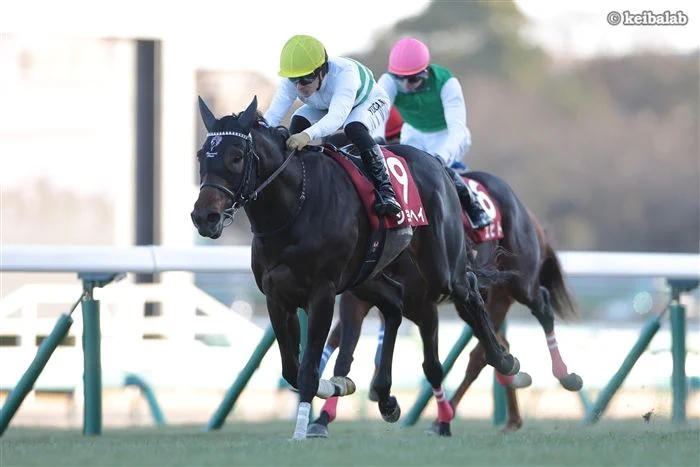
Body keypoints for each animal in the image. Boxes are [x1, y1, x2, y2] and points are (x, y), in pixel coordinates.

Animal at [190, 96, 520, 440]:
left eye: (237, 157)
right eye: (202, 155)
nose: (204, 217)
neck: (294, 208)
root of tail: (436, 161)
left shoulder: (321, 294)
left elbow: (307, 369)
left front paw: (301, 430)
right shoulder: (277, 296)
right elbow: (292, 369)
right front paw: (336, 386)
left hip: (440, 266)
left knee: (467, 288)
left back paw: (504, 360)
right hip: (365, 277)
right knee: (394, 304)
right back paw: (386, 397)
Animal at [307, 171, 583, 437]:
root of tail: (528, 214)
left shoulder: (424, 307)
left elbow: (432, 366)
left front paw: (440, 419)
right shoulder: (356, 299)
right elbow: (344, 354)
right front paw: (322, 419)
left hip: (518, 281)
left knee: (538, 309)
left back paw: (565, 376)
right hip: (480, 301)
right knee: (491, 346)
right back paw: (512, 408)